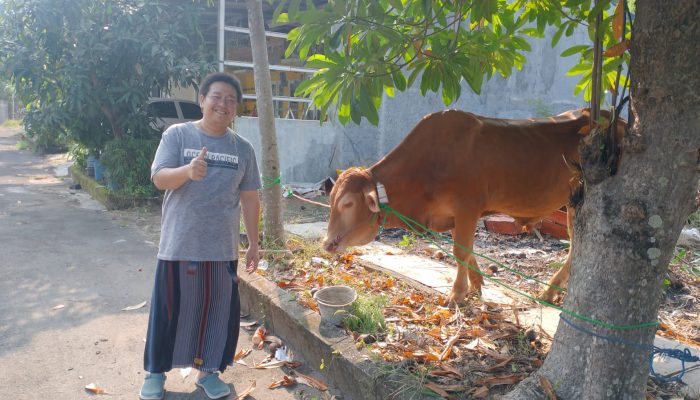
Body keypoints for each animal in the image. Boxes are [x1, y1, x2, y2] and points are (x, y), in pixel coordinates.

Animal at [322, 108, 624, 304]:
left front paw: (457, 294)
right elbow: (467, 253)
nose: (327, 243)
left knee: (576, 245)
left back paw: (550, 291)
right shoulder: (456, 217)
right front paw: (476, 284)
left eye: (348, 203)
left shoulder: (468, 209)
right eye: (331, 199)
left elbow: (460, 252)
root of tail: (613, 117)